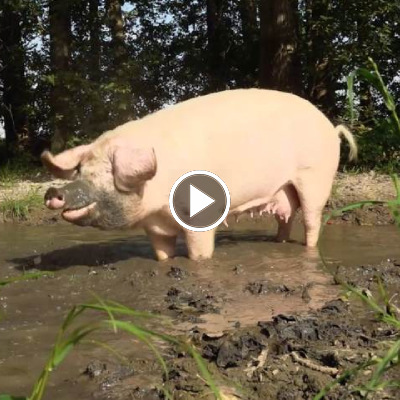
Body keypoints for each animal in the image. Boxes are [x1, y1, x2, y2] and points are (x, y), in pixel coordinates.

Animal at [42, 89, 358, 260]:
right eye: (81, 170)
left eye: (110, 171)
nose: (53, 191)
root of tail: (331, 128)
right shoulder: (154, 226)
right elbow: (162, 253)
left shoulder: (201, 216)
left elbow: (199, 253)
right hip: (285, 188)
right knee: (286, 218)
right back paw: (277, 243)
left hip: (316, 177)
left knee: (312, 221)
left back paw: (308, 247)